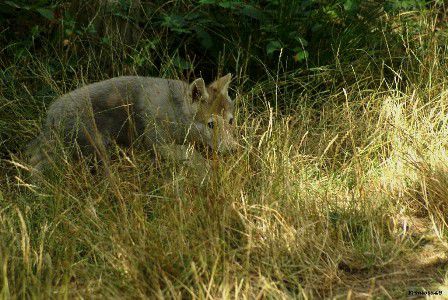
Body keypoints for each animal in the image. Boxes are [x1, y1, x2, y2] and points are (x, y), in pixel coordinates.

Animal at [28, 73, 238, 172]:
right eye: (211, 125)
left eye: (231, 121)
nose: (235, 150)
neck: (174, 112)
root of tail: (51, 114)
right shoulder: (157, 144)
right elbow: (195, 156)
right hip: (98, 153)